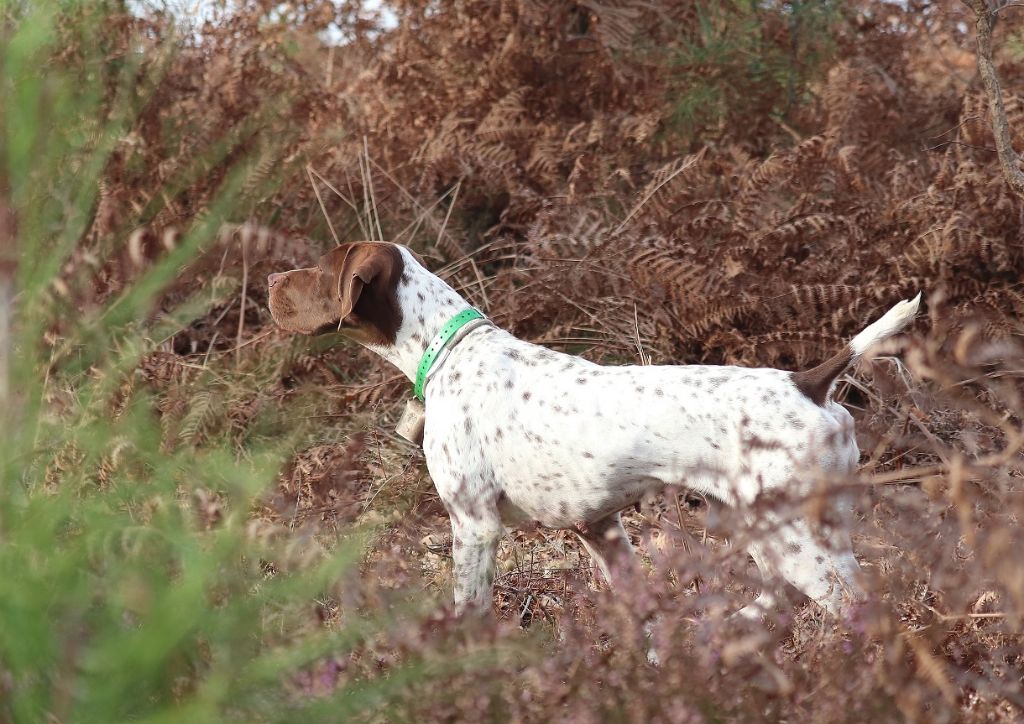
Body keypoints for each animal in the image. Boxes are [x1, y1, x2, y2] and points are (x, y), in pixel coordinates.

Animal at [268, 241, 925, 618]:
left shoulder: (473, 526)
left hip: (798, 540)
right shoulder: (599, 526)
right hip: (772, 530)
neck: (449, 348)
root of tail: (809, 382)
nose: (271, 282)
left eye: (320, 269)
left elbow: (470, 615)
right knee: (780, 600)